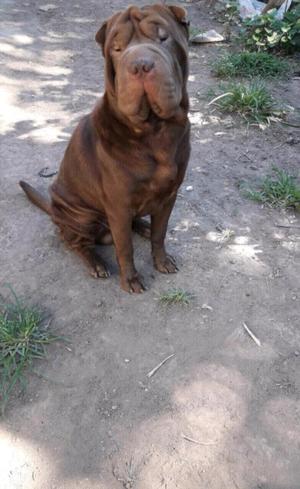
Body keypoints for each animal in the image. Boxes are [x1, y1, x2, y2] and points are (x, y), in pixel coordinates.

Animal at [19, 3, 191, 292]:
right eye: (117, 48)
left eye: (163, 37)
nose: (141, 65)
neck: (155, 130)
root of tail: (54, 209)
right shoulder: (119, 205)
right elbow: (125, 248)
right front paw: (131, 279)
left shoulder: (169, 195)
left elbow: (160, 233)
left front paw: (162, 260)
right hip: (81, 215)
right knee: (74, 242)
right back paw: (96, 263)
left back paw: (143, 226)